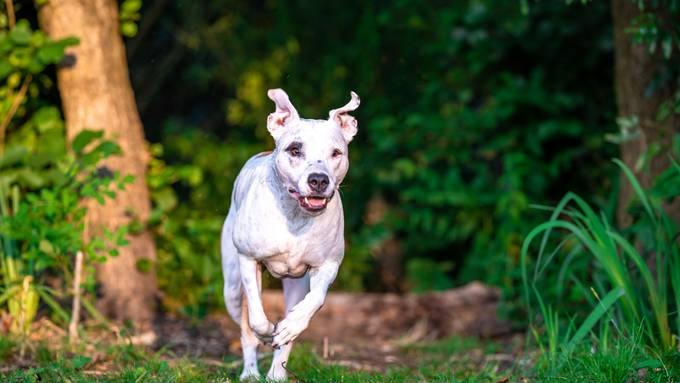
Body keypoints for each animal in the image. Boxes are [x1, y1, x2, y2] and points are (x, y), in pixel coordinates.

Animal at [223, 89, 362, 380]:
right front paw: (266, 332)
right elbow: (256, 318)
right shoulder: (248, 259)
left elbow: (316, 299)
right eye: (295, 150)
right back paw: (250, 372)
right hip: (231, 288)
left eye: (336, 153)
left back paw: (277, 372)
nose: (318, 179)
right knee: (245, 329)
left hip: (295, 287)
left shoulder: (327, 265)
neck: (296, 217)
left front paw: (289, 326)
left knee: (289, 329)